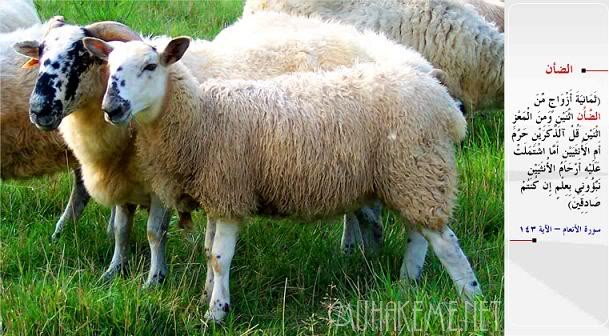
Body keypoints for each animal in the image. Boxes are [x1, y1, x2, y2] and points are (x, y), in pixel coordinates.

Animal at [85, 35, 482, 322]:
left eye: (150, 65)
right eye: (110, 67)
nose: (112, 108)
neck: (202, 116)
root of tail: (443, 102)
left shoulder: (230, 191)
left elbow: (220, 257)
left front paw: (217, 313)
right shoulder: (217, 193)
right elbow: (208, 251)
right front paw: (206, 295)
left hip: (418, 169)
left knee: (446, 242)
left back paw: (472, 298)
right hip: (408, 176)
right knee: (418, 234)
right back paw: (407, 283)